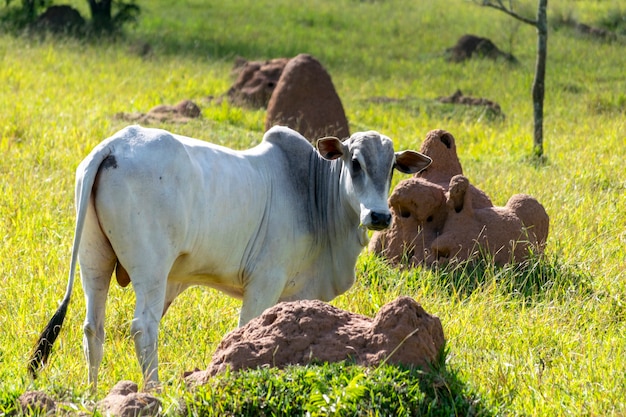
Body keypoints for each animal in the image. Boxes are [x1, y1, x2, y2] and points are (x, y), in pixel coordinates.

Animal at [28, 124, 428, 390]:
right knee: (143, 327)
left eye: (392, 167)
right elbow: (243, 333)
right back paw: (152, 393)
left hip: (93, 261)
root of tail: (113, 146)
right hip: (150, 270)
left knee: (92, 327)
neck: (313, 192)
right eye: (355, 162)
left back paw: (93, 394)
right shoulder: (263, 283)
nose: (380, 216)